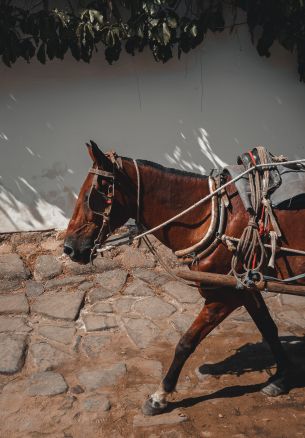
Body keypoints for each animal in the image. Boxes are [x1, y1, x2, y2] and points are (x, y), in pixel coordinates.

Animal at [63, 142, 302, 416]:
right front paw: (283, 377)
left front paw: (160, 395)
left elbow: (186, 342)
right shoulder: (245, 285)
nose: (69, 248)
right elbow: (268, 328)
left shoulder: (224, 296)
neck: (215, 214)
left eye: (91, 195)